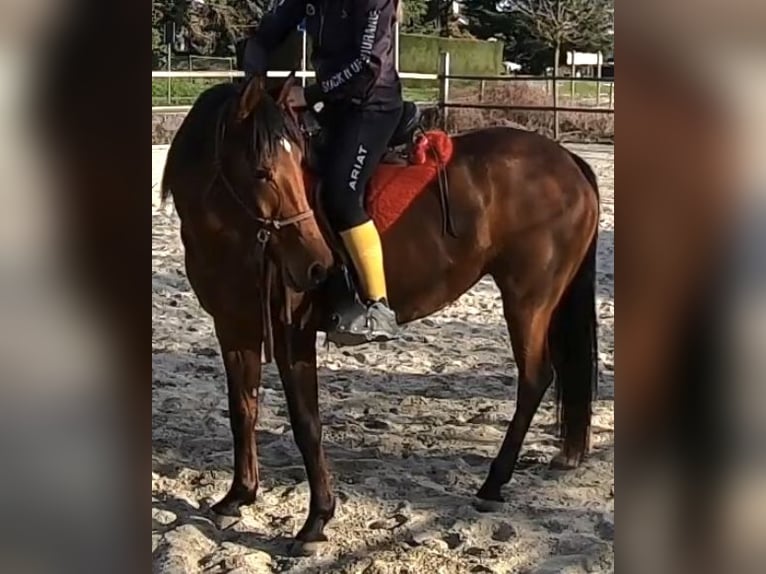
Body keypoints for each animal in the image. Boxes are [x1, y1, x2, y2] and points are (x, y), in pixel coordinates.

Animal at [159, 74, 600, 550]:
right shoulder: (233, 327)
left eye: (297, 164)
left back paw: (493, 481)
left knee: (534, 378)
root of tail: (567, 160)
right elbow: (242, 409)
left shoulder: (293, 334)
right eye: (262, 171)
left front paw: (316, 520)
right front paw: (238, 495)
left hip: (527, 300)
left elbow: (306, 423)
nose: (318, 266)